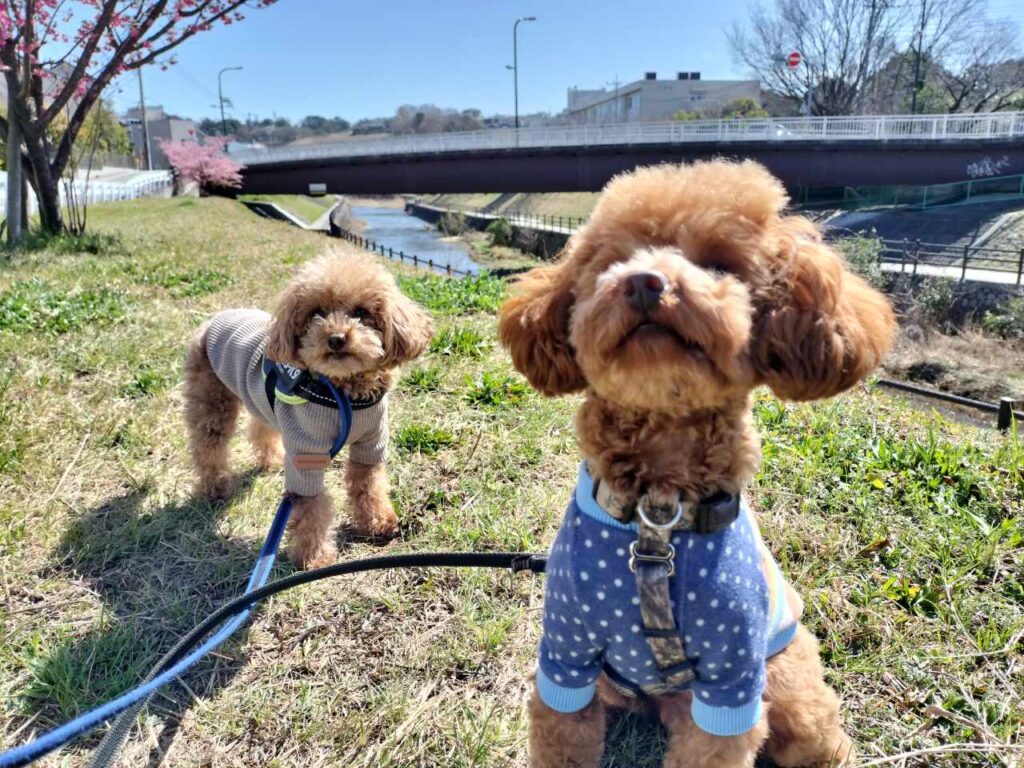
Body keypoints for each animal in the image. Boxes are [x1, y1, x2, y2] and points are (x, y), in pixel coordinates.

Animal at [184, 249, 432, 569]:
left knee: (260, 427)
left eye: (361, 312)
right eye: (317, 313)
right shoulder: (306, 454)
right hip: (211, 396)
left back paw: (272, 460)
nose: (336, 338)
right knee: (208, 445)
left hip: (261, 402)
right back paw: (214, 489)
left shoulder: (371, 441)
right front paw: (313, 556)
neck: (344, 393)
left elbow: (368, 485)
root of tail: (213, 320)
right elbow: (310, 506)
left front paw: (378, 522)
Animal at [499, 160, 895, 767]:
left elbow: (714, 745)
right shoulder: (566, 651)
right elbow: (561, 735)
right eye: (612, 262)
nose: (643, 282)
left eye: (717, 264)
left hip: (786, 680)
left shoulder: (732, 679)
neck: (656, 513)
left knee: (814, 731)